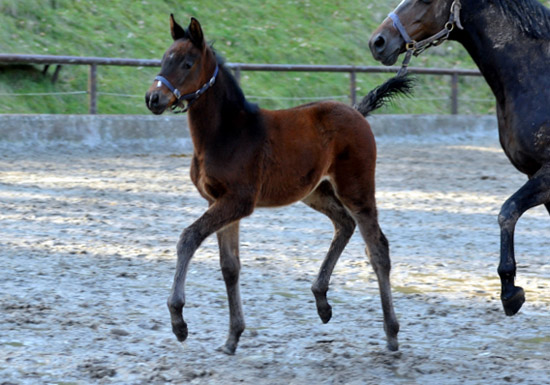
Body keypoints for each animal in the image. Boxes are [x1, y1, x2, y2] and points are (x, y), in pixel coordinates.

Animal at [147, 16, 414, 352]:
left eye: (187, 63)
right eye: (163, 59)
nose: (153, 99)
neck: (225, 133)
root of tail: (357, 111)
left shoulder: (237, 201)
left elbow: (188, 238)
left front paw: (178, 321)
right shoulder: (218, 201)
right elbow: (229, 267)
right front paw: (232, 337)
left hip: (356, 188)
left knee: (377, 248)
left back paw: (391, 333)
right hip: (315, 191)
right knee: (345, 224)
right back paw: (322, 301)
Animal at [368, 0, 550, 316]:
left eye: (425, 0)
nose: (377, 42)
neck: (538, 77)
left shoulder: (547, 175)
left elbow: (507, 211)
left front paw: (510, 292)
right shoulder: (535, 175)